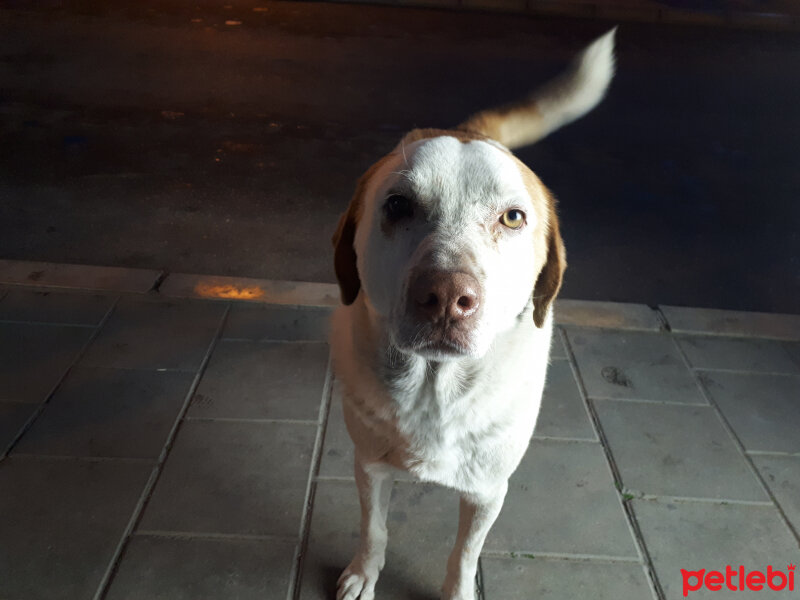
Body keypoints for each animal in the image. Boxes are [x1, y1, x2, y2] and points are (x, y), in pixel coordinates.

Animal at [328, 29, 616, 600]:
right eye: (397, 205)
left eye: (513, 217)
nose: (445, 296)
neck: (434, 389)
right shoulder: (368, 465)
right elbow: (373, 527)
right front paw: (364, 573)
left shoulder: (488, 490)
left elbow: (464, 553)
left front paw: (457, 590)